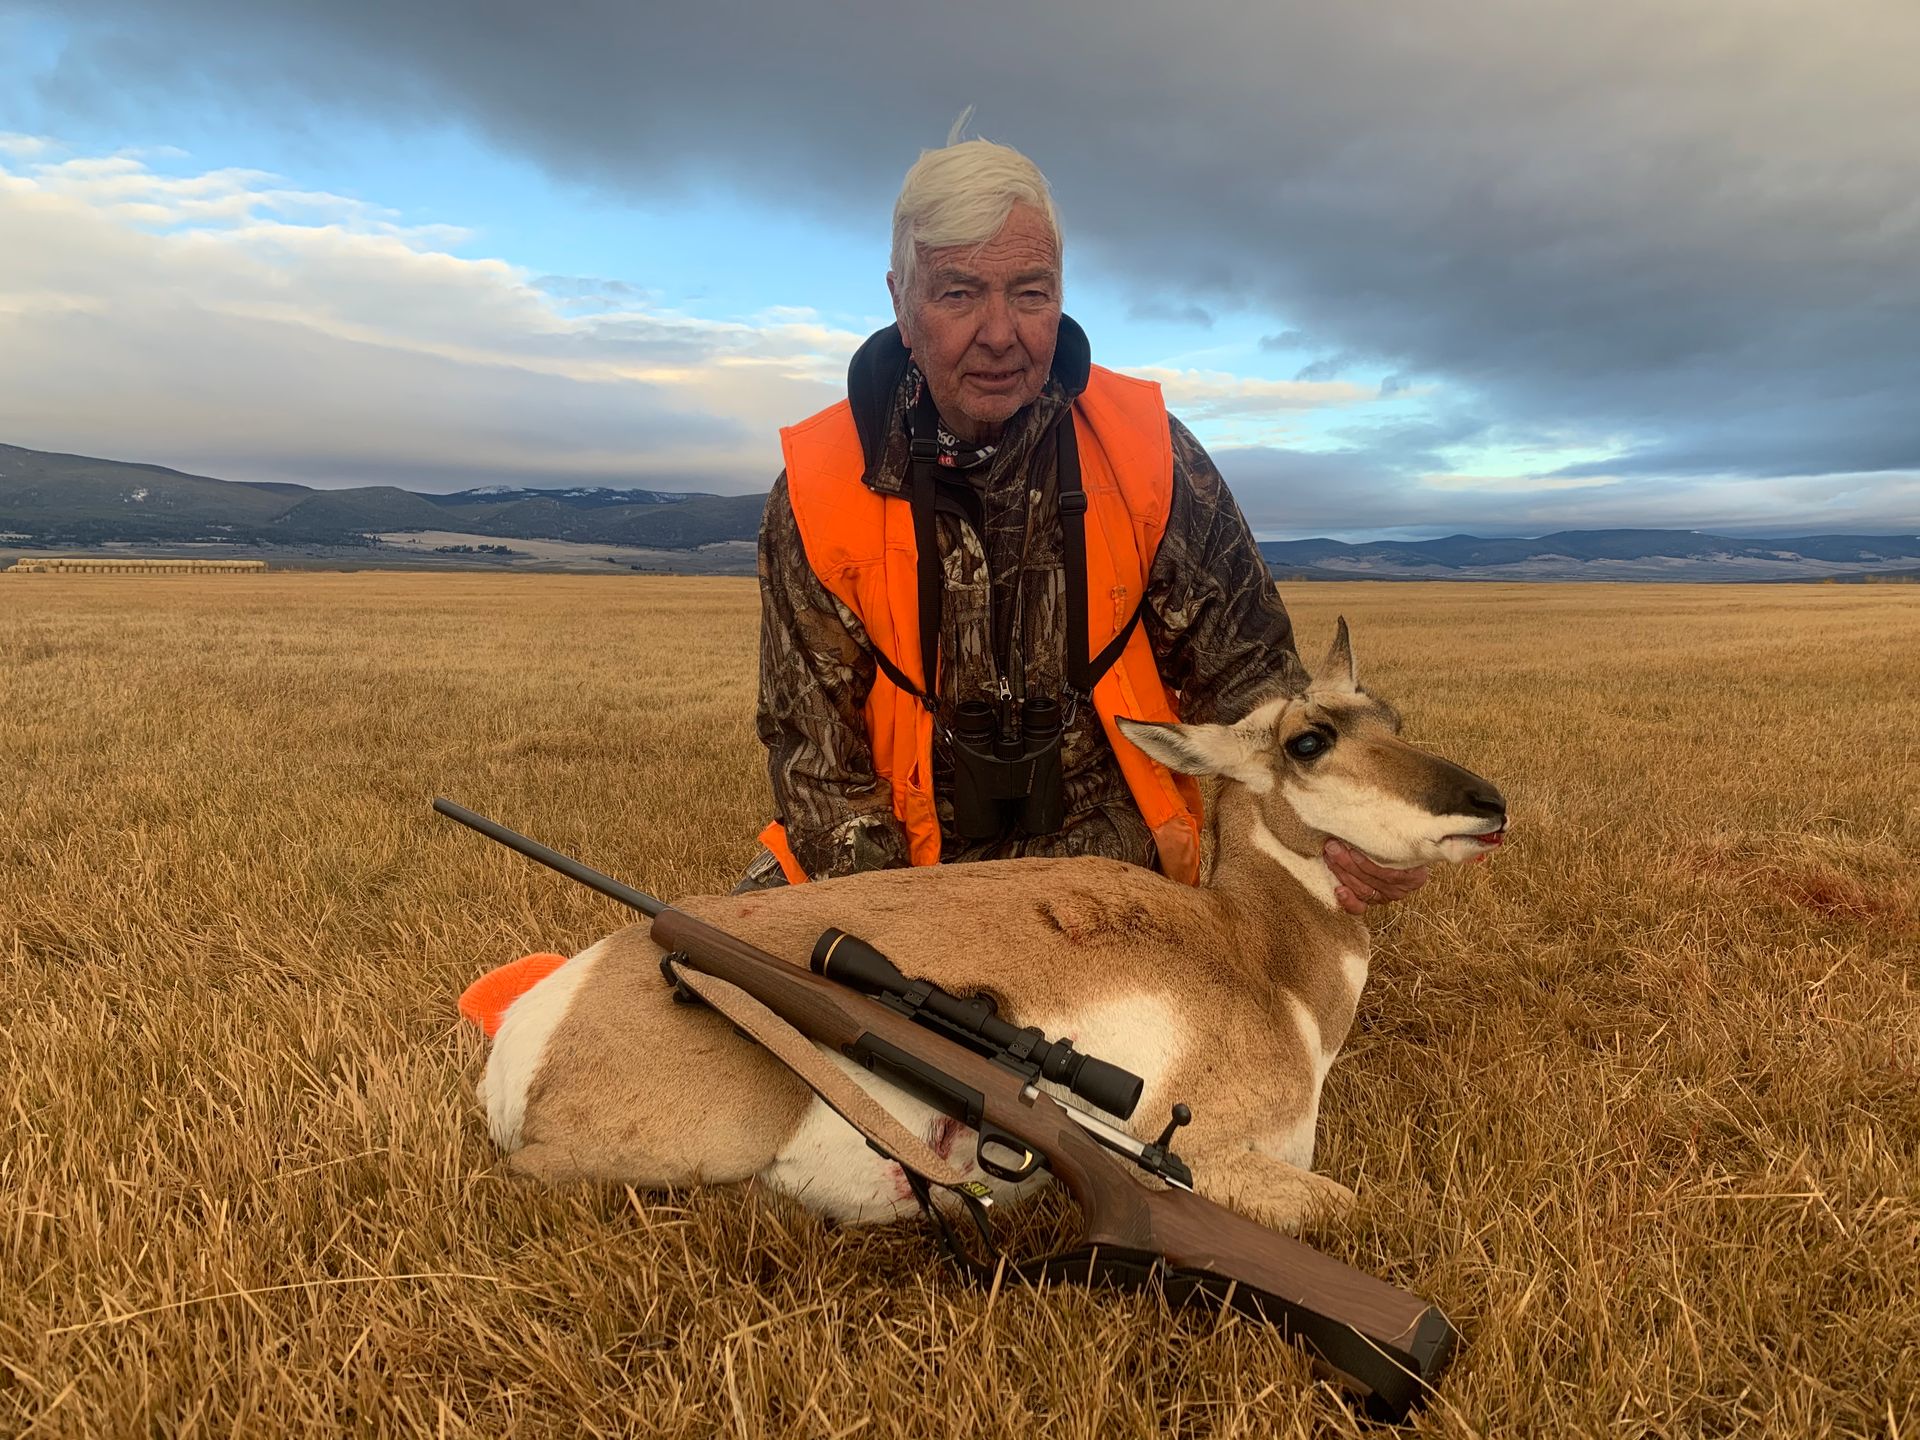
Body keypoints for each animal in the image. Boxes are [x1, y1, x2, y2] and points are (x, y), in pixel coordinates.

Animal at [470, 622, 1507, 1233]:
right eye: (1309, 740)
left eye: (1391, 714)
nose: (1489, 804)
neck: (1256, 957)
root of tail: (541, 1014)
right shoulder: (1209, 1160)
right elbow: (1352, 1208)